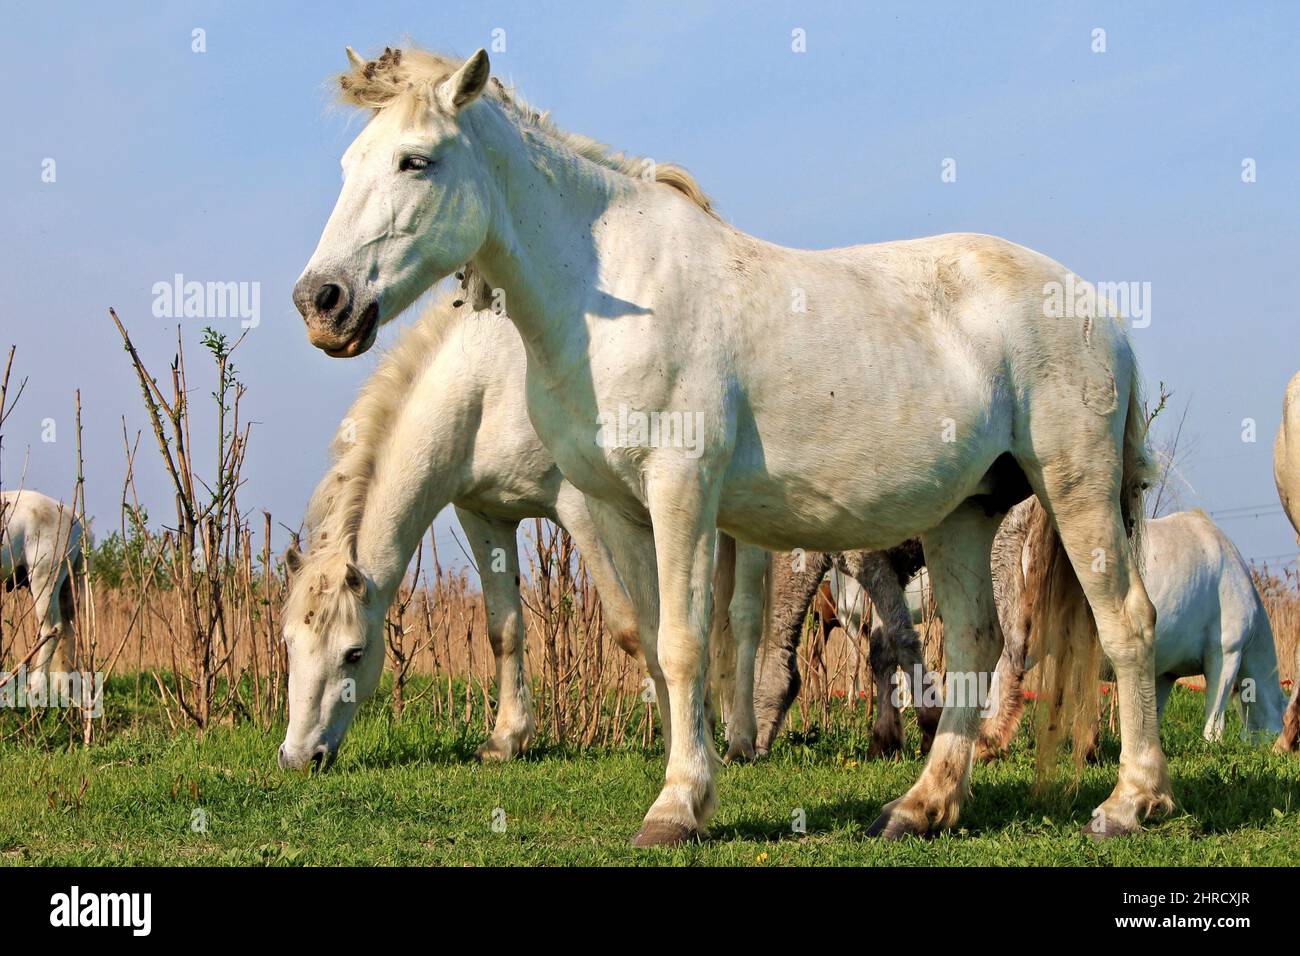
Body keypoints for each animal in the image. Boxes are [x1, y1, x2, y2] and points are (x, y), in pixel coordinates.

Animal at [1, 489, 84, 699]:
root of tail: (73, 517)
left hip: (44, 580)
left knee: (53, 629)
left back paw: (35, 687)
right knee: (68, 630)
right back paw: (61, 688)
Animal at [293, 46, 1169, 844]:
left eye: (416, 160)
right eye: (347, 164)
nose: (321, 301)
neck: (610, 294)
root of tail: (1099, 310)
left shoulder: (680, 491)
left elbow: (685, 644)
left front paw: (678, 806)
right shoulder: (613, 510)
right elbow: (649, 643)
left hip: (1075, 488)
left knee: (1126, 622)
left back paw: (1131, 803)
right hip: (965, 513)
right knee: (974, 642)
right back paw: (923, 806)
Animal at [977, 501, 1285, 758]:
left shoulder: (1165, 673)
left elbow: (1153, 712)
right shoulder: (1227, 653)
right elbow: (1215, 714)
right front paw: (1212, 747)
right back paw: (988, 744)